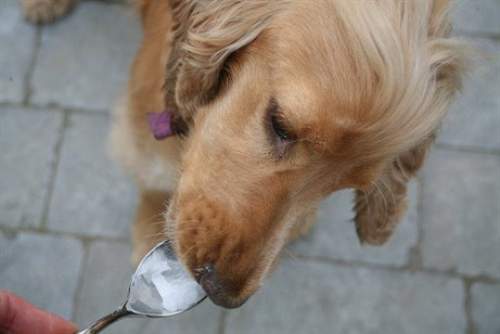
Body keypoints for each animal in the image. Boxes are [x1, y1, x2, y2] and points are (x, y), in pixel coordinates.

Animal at [23, 0, 466, 308]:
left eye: (349, 182)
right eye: (281, 124)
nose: (221, 292)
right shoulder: (145, 120)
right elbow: (153, 178)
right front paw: (148, 231)